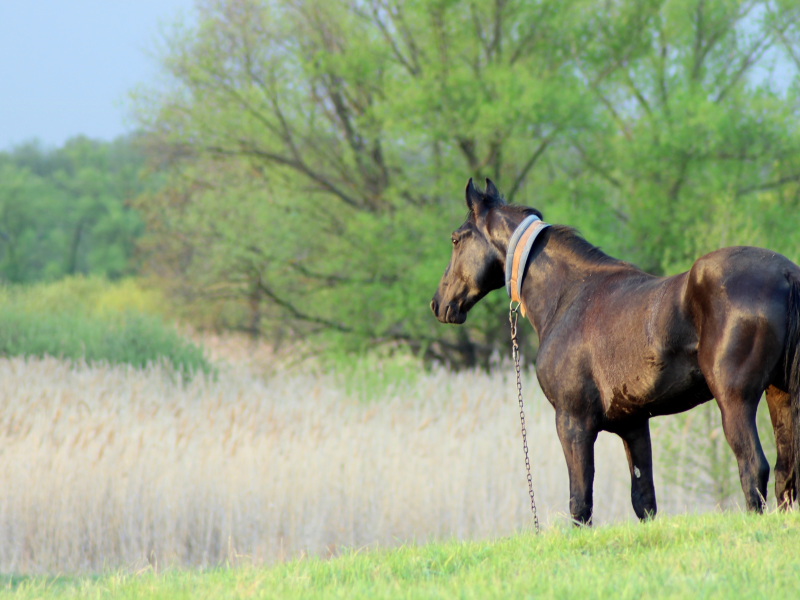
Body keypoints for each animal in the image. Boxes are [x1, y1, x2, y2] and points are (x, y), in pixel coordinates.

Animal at [434, 177, 796, 524]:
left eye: (455, 239)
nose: (439, 304)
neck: (569, 295)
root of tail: (786, 273)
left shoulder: (573, 423)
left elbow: (580, 503)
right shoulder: (633, 425)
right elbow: (644, 500)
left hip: (735, 401)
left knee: (754, 467)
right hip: (780, 396)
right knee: (785, 473)